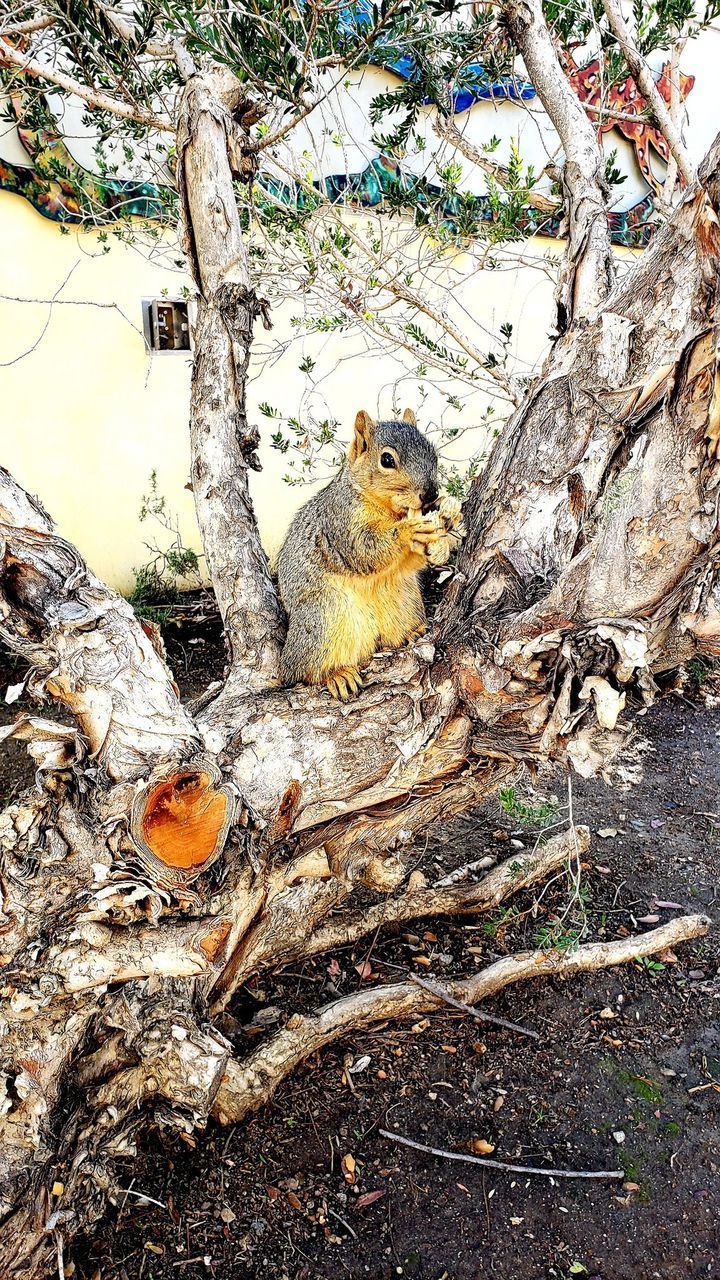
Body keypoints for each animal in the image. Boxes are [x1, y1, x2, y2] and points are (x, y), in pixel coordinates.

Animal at [274, 407, 458, 701]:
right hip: (324, 619)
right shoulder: (341, 523)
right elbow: (364, 550)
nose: (431, 493)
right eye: (387, 459)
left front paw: (445, 532)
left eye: (433, 452)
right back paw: (336, 674)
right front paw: (407, 531)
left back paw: (412, 633)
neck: (388, 510)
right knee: (304, 671)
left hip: (404, 602)